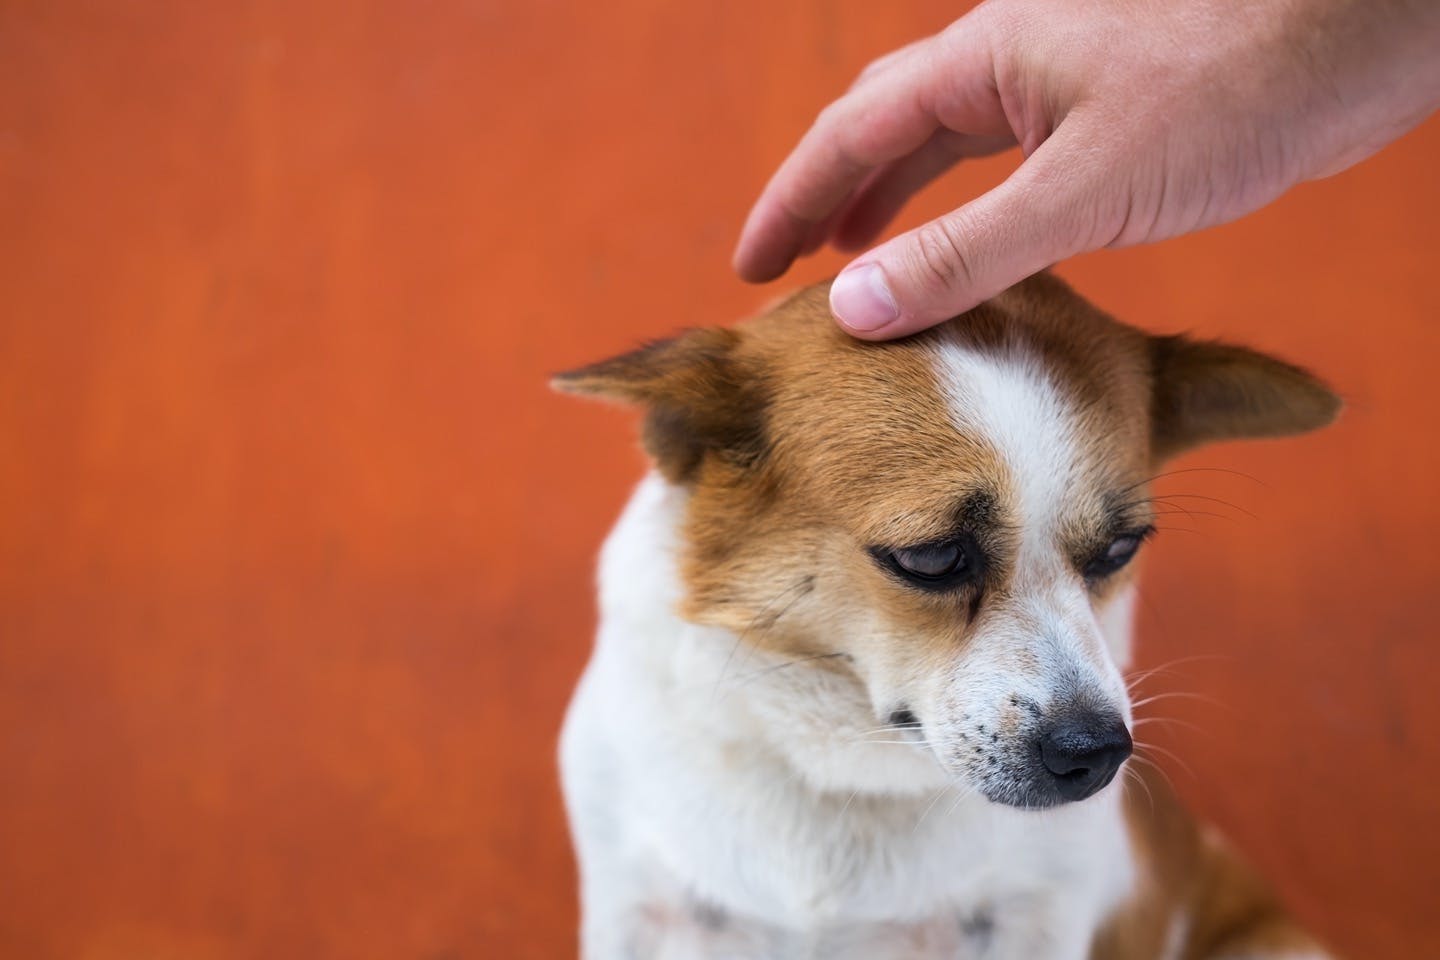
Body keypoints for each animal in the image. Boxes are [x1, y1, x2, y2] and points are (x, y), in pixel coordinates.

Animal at [550, 272, 1336, 960]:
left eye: (1120, 549)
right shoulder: (635, 909)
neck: (848, 770)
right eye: (930, 558)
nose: (1097, 752)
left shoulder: (1038, 917)